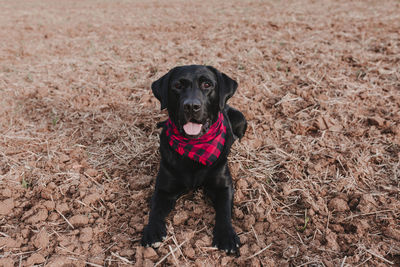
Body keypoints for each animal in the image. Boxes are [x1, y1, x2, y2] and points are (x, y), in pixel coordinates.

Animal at [141, 65, 247, 255]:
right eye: (177, 85)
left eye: (207, 84)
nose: (191, 106)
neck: (194, 147)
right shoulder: (163, 188)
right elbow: (155, 209)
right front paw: (152, 230)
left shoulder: (224, 186)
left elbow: (224, 212)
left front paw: (226, 235)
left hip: (240, 118)